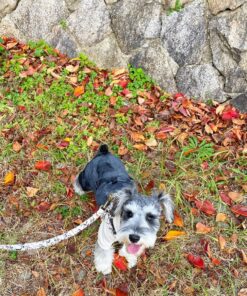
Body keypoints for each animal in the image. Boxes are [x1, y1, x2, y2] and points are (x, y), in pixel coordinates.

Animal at [73, 145, 174, 274]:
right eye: (128, 213)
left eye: (150, 217)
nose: (134, 237)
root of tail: (104, 152)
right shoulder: (104, 237)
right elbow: (103, 253)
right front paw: (103, 267)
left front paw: (129, 256)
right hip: (86, 179)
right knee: (79, 178)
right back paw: (78, 189)